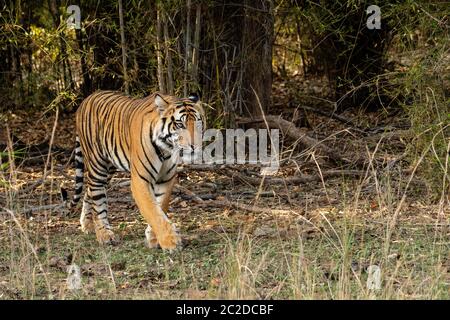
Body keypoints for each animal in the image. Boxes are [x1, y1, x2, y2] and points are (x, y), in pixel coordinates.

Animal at [62, 90, 206, 250]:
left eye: (198, 124)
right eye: (180, 124)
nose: (195, 146)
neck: (167, 148)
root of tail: (86, 100)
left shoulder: (166, 179)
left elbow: (160, 206)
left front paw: (153, 238)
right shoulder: (140, 180)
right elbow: (152, 210)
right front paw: (170, 242)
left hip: (110, 167)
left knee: (89, 191)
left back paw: (87, 225)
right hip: (97, 164)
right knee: (97, 196)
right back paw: (104, 235)